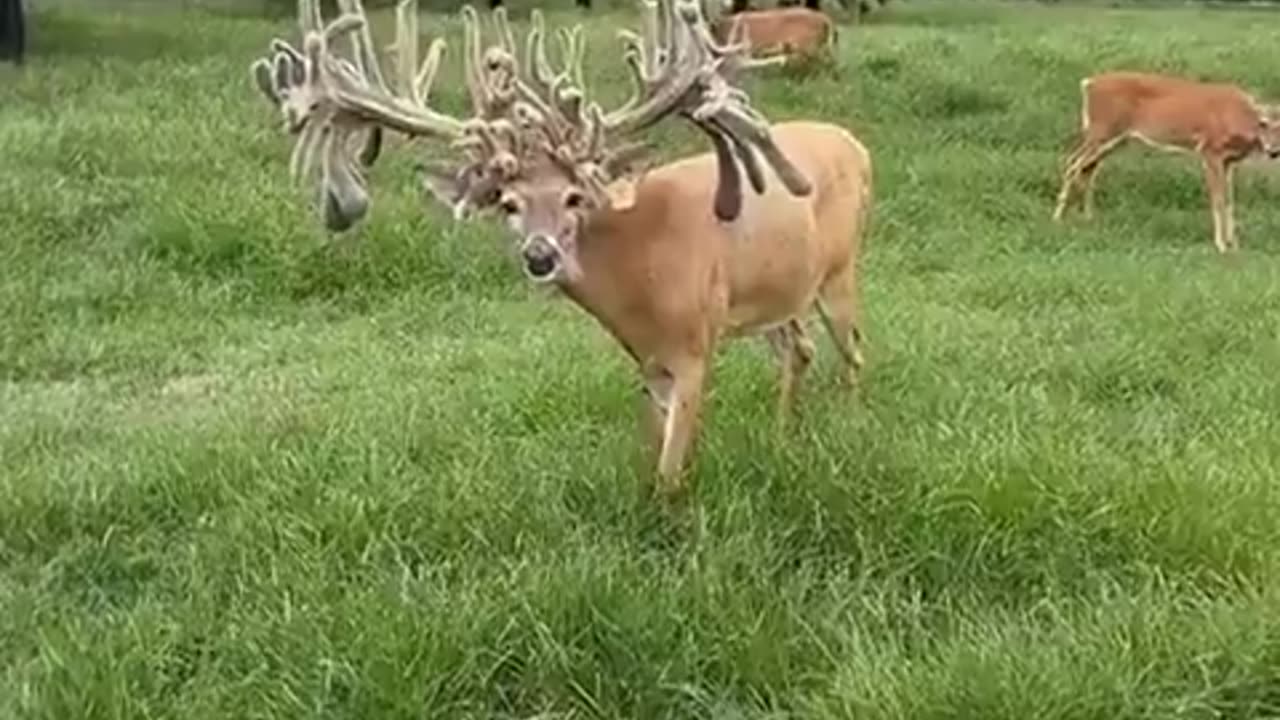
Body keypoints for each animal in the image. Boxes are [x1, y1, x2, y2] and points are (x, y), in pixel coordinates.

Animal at [249, 0, 873, 498]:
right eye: (507, 203)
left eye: (575, 196)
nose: (540, 256)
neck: (639, 274)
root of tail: (858, 145)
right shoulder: (647, 358)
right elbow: (657, 449)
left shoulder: (695, 344)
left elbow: (670, 472)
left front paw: (675, 525)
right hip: (778, 294)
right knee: (800, 349)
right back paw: (784, 435)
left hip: (841, 269)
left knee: (852, 351)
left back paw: (849, 423)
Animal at [1052, 70, 1280, 253]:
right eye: (1263, 124)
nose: (1273, 151)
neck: (1238, 119)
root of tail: (1088, 84)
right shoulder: (1210, 150)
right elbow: (1218, 199)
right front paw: (1221, 245)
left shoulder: (1229, 161)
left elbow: (1231, 201)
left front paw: (1235, 244)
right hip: (1103, 129)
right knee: (1072, 163)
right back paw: (1057, 218)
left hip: (1114, 138)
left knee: (1088, 169)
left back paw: (1088, 219)